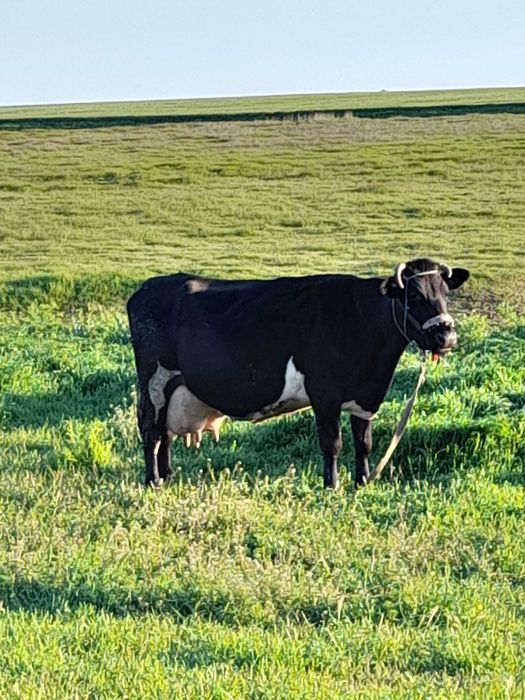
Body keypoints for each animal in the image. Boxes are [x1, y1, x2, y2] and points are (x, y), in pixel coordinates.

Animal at [127, 258, 469, 489]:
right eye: (416, 296)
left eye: (444, 293)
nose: (447, 336)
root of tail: (147, 287)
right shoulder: (324, 394)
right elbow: (332, 443)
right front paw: (332, 486)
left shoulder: (365, 397)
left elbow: (364, 443)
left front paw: (362, 482)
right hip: (154, 381)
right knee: (151, 432)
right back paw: (153, 481)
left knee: (165, 435)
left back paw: (167, 476)